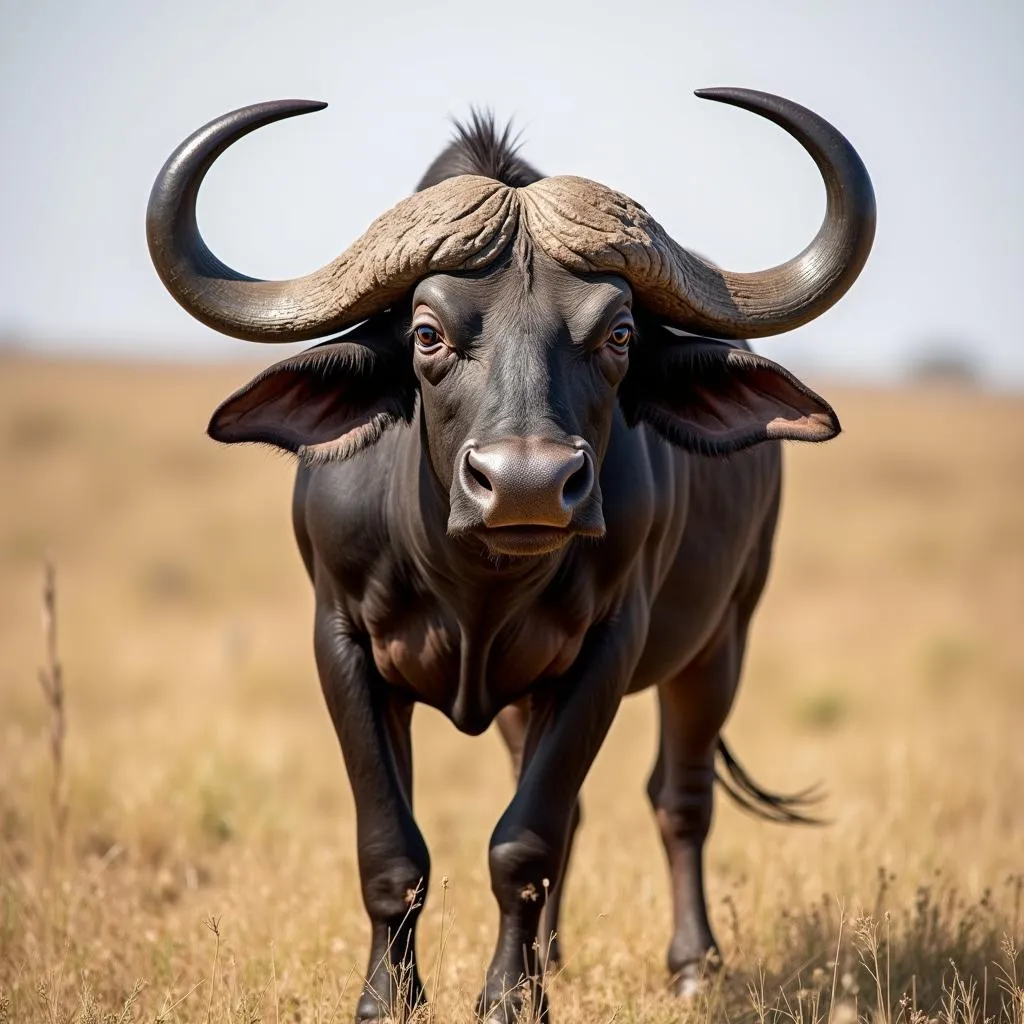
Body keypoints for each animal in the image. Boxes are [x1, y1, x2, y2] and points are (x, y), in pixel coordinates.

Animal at [148, 90, 876, 1024]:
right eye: (427, 334)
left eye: (619, 334)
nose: (527, 485)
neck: (473, 584)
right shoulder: (341, 642)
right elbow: (393, 848)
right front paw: (390, 998)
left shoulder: (607, 648)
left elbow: (525, 841)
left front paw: (509, 999)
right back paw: (554, 955)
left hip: (722, 639)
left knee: (679, 799)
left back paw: (689, 962)